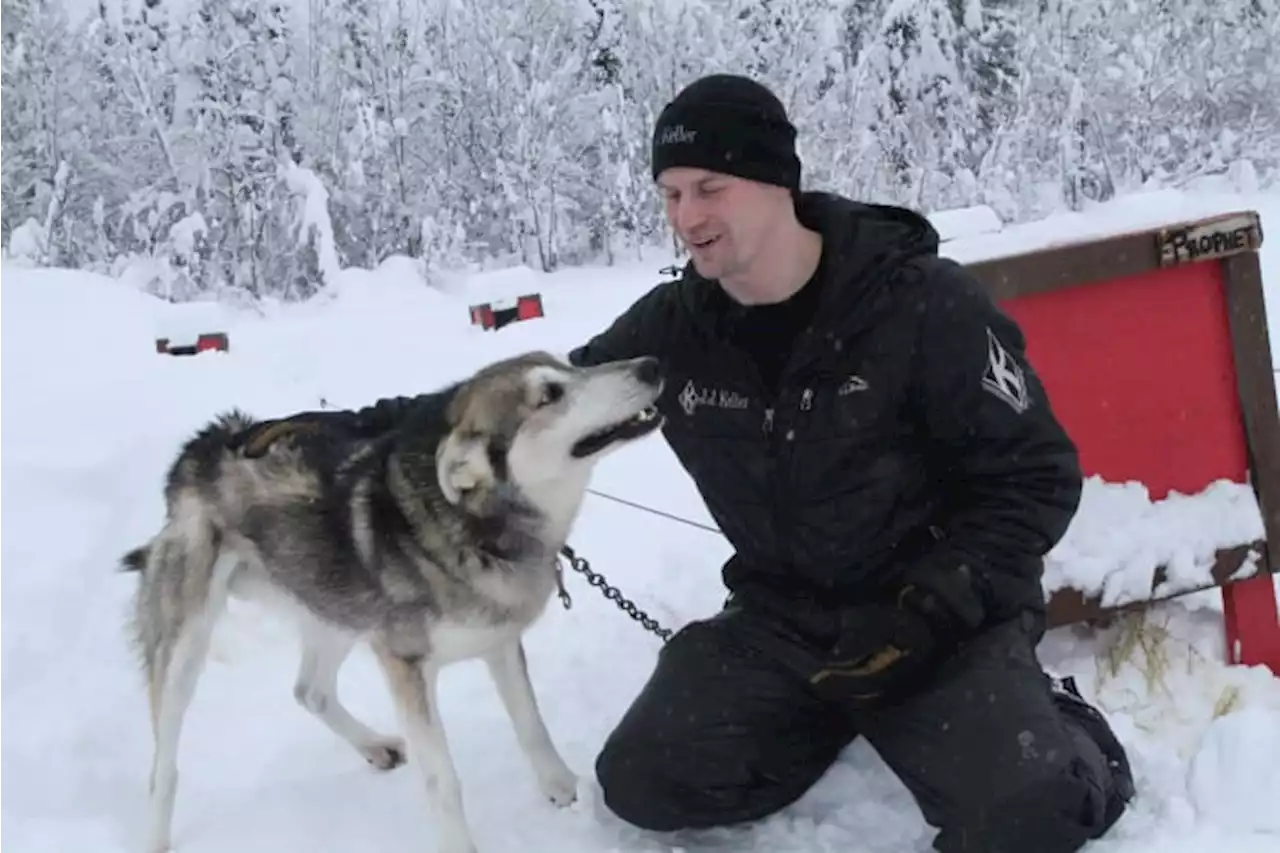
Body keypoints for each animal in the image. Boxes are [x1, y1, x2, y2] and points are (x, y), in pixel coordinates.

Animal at [119, 348, 665, 845]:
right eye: (549, 394)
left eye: (572, 365)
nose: (649, 366)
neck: (475, 530)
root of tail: (203, 445)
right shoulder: (406, 666)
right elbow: (443, 782)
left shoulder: (500, 644)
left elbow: (532, 725)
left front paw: (564, 789)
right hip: (187, 645)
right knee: (162, 769)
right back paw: (157, 834)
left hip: (337, 607)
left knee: (310, 690)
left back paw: (373, 746)